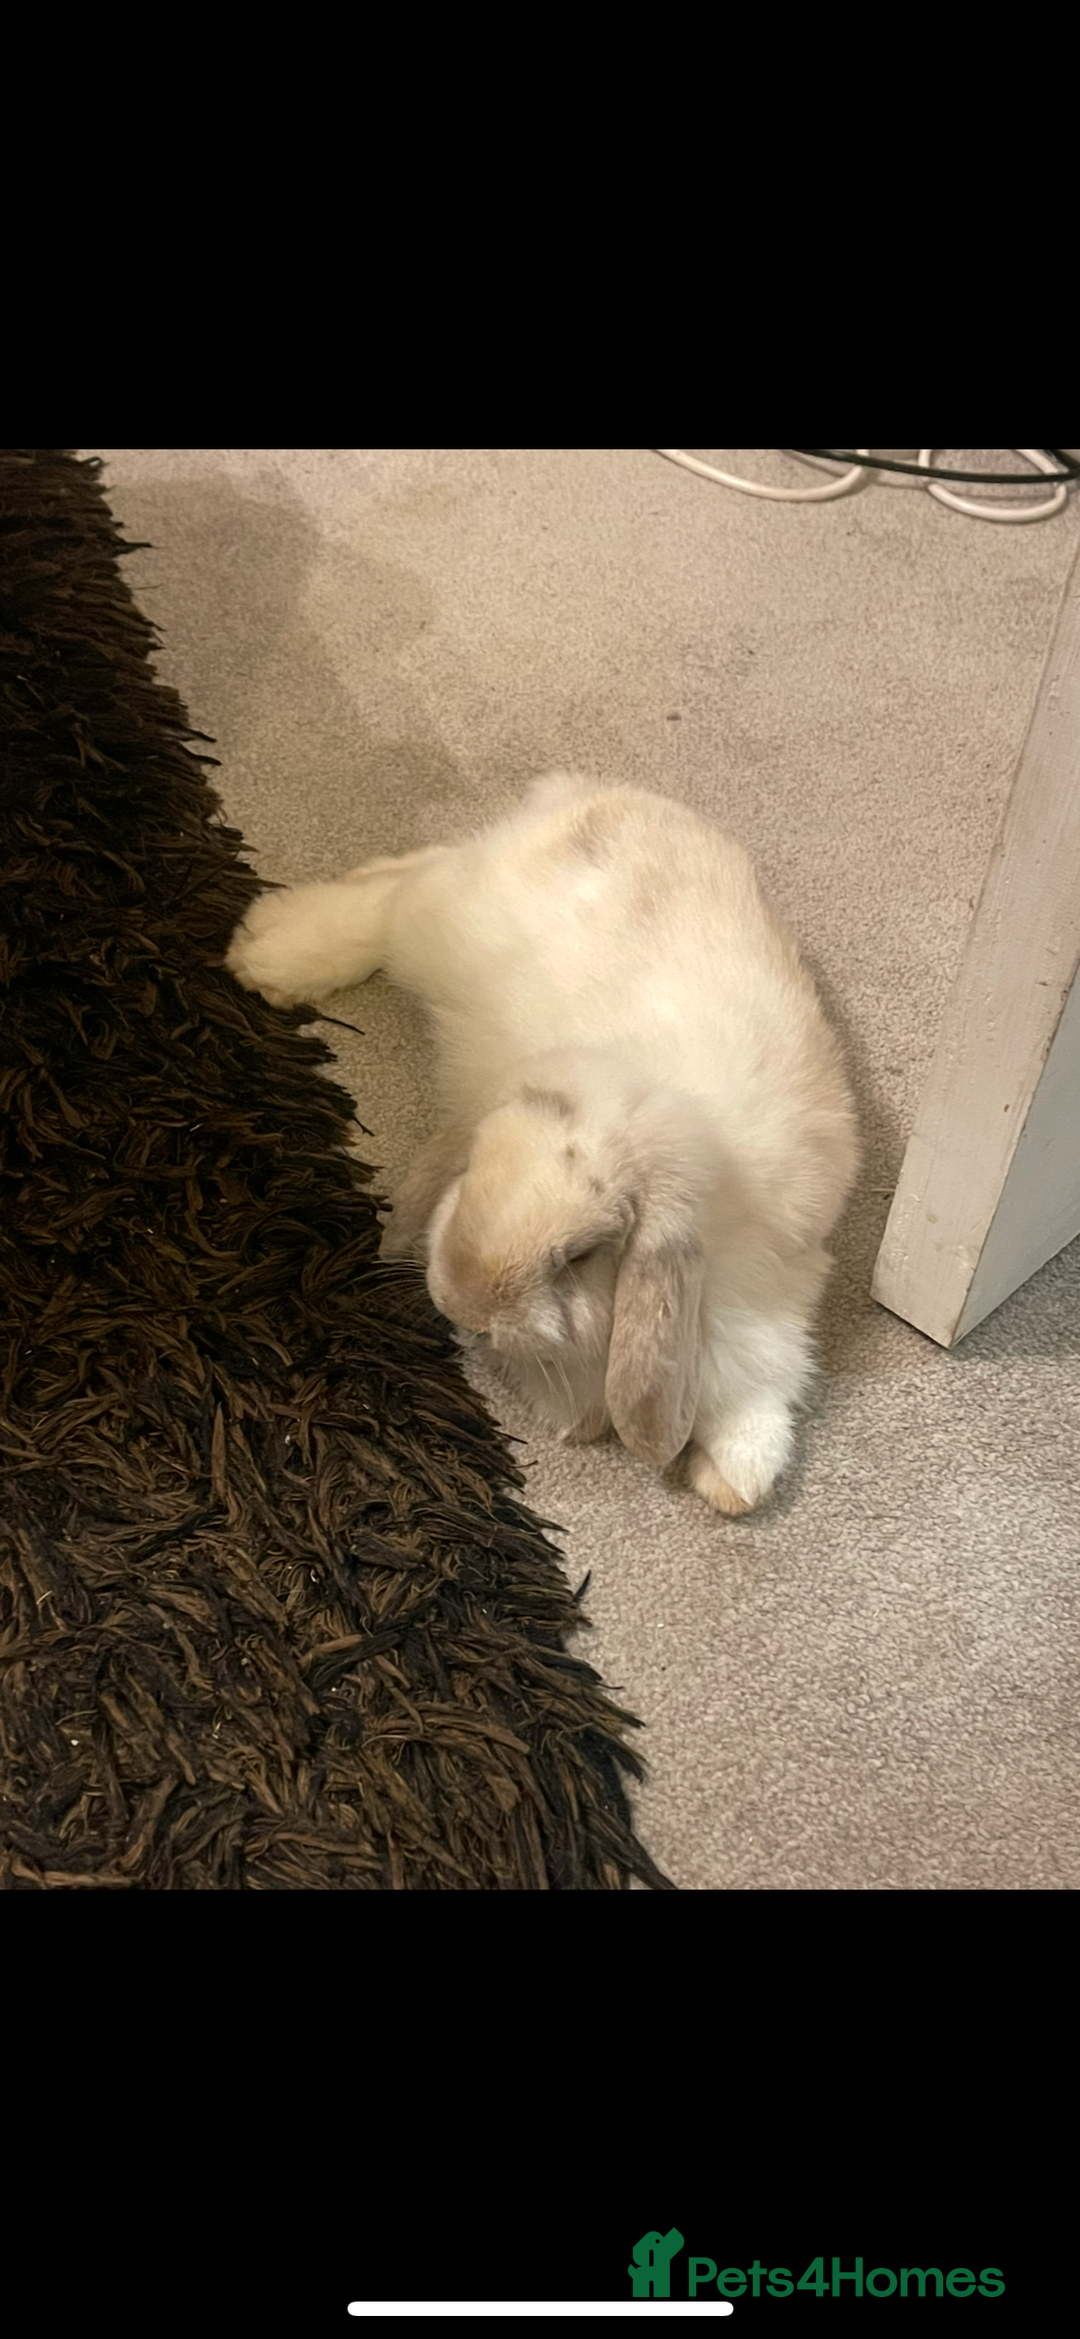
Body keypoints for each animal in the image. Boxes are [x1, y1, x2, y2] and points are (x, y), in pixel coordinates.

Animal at [225, 773, 859, 1515]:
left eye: (580, 1255)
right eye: (467, 1176)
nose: (460, 1308)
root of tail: (590, 800)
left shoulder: (773, 1284)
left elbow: (763, 1373)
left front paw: (734, 1479)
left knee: (410, 870)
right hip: (440, 925)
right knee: (391, 898)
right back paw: (268, 953)